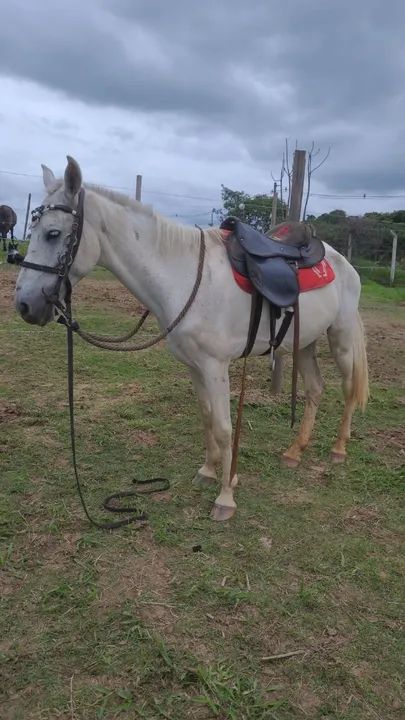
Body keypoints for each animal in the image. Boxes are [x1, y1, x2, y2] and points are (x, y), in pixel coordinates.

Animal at [14, 157, 369, 521]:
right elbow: (207, 416)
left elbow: (225, 428)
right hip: (304, 344)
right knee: (315, 389)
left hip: (340, 338)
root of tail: (342, 261)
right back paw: (294, 451)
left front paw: (225, 497)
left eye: (53, 233)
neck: (183, 277)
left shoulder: (216, 366)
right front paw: (209, 471)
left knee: (347, 388)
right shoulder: (194, 365)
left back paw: (338, 448)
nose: (25, 305)